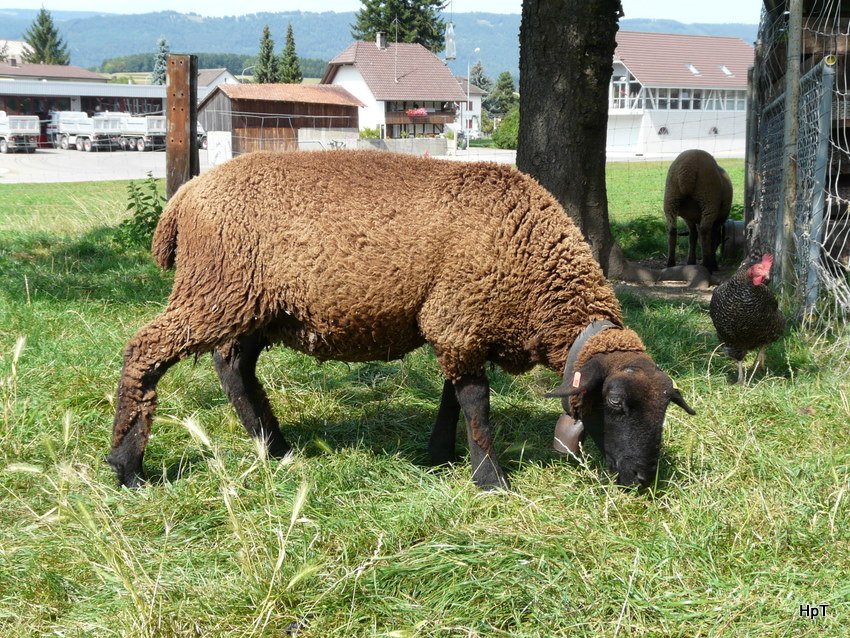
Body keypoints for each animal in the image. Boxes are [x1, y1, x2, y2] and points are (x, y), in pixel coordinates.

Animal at [106, 152, 692, 492]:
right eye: (615, 406)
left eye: (667, 407)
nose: (642, 481)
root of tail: (184, 197)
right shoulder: (459, 318)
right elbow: (476, 402)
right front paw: (491, 480)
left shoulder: (459, 325)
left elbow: (454, 395)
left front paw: (441, 456)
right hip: (215, 289)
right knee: (146, 351)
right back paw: (127, 467)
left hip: (257, 304)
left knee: (233, 369)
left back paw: (275, 449)